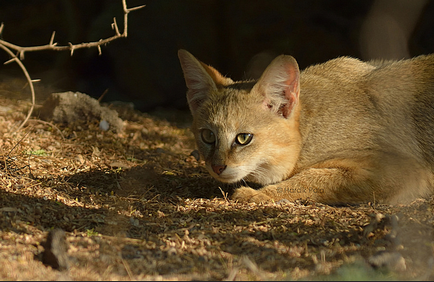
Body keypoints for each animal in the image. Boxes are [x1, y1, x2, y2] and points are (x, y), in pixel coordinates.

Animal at [177, 49, 434, 205]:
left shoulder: (404, 170)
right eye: (208, 136)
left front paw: (257, 194)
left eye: (243, 138)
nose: (217, 168)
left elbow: (312, 177)